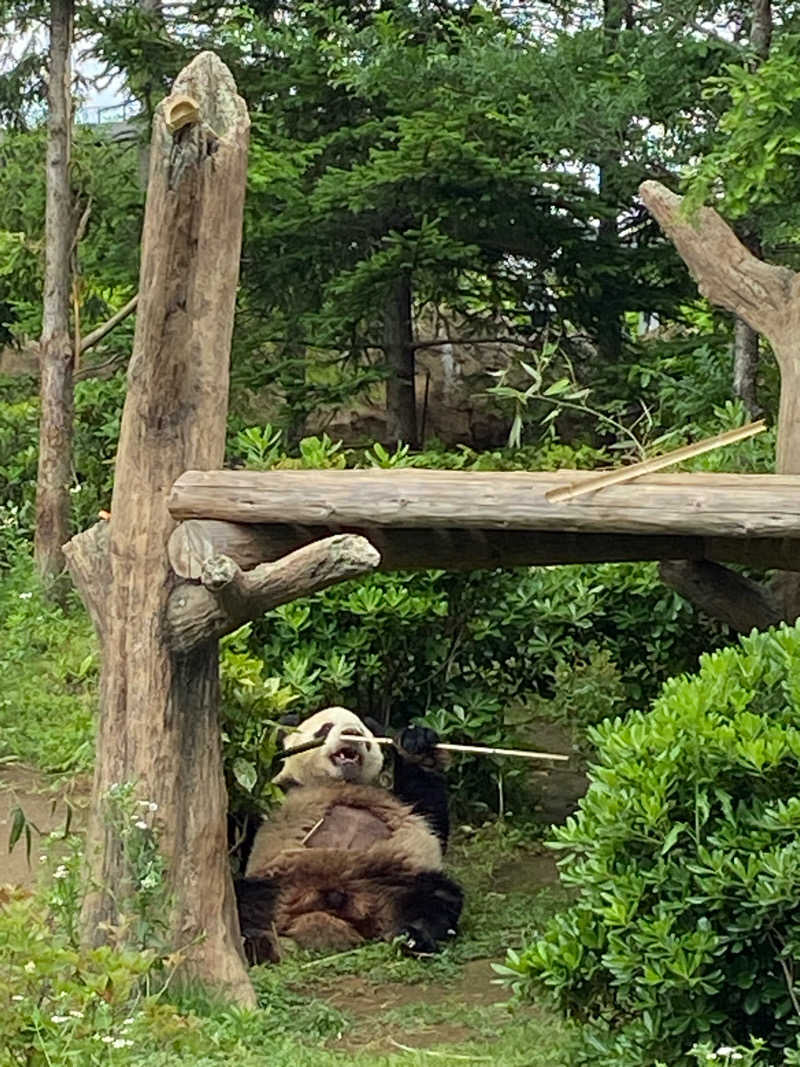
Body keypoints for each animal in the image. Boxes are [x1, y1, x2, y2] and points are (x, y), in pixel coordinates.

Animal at [233, 708, 462, 968]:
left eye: (362, 730)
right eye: (325, 728)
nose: (352, 732)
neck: (340, 781)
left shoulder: (400, 800)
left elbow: (431, 817)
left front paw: (416, 743)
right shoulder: (272, 798)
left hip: (388, 879)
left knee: (436, 897)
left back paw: (414, 937)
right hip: (278, 882)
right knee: (241, 900)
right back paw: (254, 943)